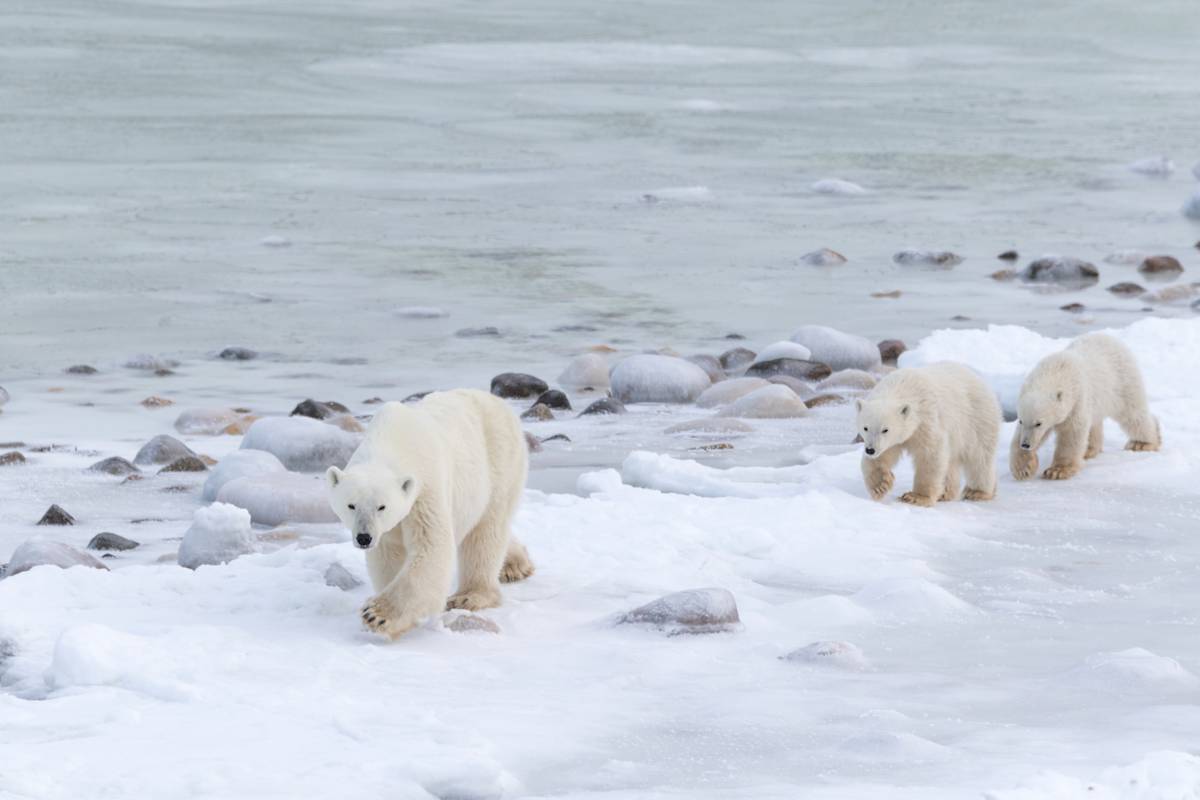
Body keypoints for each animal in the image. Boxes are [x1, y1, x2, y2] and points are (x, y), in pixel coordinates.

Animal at [328, 388, 535, 638]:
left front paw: (377, 614)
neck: (390, 441)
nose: (364, 538)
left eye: (381, 506)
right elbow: (389, 554)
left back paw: (470, 595)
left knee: (485, 532)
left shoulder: (425, 489)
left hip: (499, 463)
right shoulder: (387, 530)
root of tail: (498, 401)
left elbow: (432, 547)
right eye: (351, 505)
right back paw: (515, 565)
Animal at [859, 362, 998, 506]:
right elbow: (884, 454)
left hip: (977, 421)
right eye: (865, 428)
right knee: (952, 461)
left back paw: (977, 492)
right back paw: (945, 493)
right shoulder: (897, 438)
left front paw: (916, 497)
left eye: (885, 429)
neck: (902, 385)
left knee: (979, 458)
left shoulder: (926, 420)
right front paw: (880, 485)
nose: (870, 450)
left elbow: (930, 455)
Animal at [1012, 333, 1161, 479]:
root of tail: (1110, 338)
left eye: (1039, 423)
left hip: (1123, 382)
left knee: (1133, 415)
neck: (1056, 370)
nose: (1025, 444)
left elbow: (1071, 433)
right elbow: (1019, 436)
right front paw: (1023, 468)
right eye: (1020, 420)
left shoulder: (1077, 399)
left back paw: (1143, 442)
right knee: (1095, 423)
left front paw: (1057, 471)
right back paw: (1089, 450)